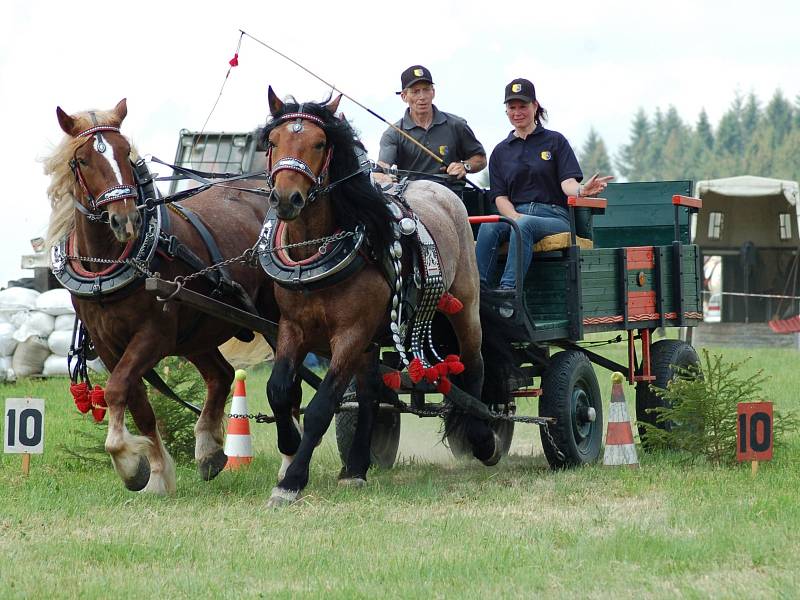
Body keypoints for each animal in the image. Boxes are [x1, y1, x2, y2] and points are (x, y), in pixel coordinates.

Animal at [43, 98, 276, 492]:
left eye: (126, 152)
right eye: (83, 160)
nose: (126, 220)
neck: (110, 263)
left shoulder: (154, 334)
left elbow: (117, 389)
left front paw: (125, 461)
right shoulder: (108, 343)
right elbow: (138, 403)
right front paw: (152, 472)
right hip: (198, 332)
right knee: (221, 375)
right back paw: (208, 452)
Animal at [266, 89, 510, 506]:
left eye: (320, 143)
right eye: (272, 141)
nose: (286, 198)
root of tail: (440, 190)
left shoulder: (350, 333)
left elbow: (321, 407)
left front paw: (292, 480)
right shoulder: (293, 326)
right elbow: (279, 390)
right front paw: (289, 450)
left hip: (465, 305)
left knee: (473, 364)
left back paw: (482, 438)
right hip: (370, 340)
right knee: (370, 395)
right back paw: (356, 468)